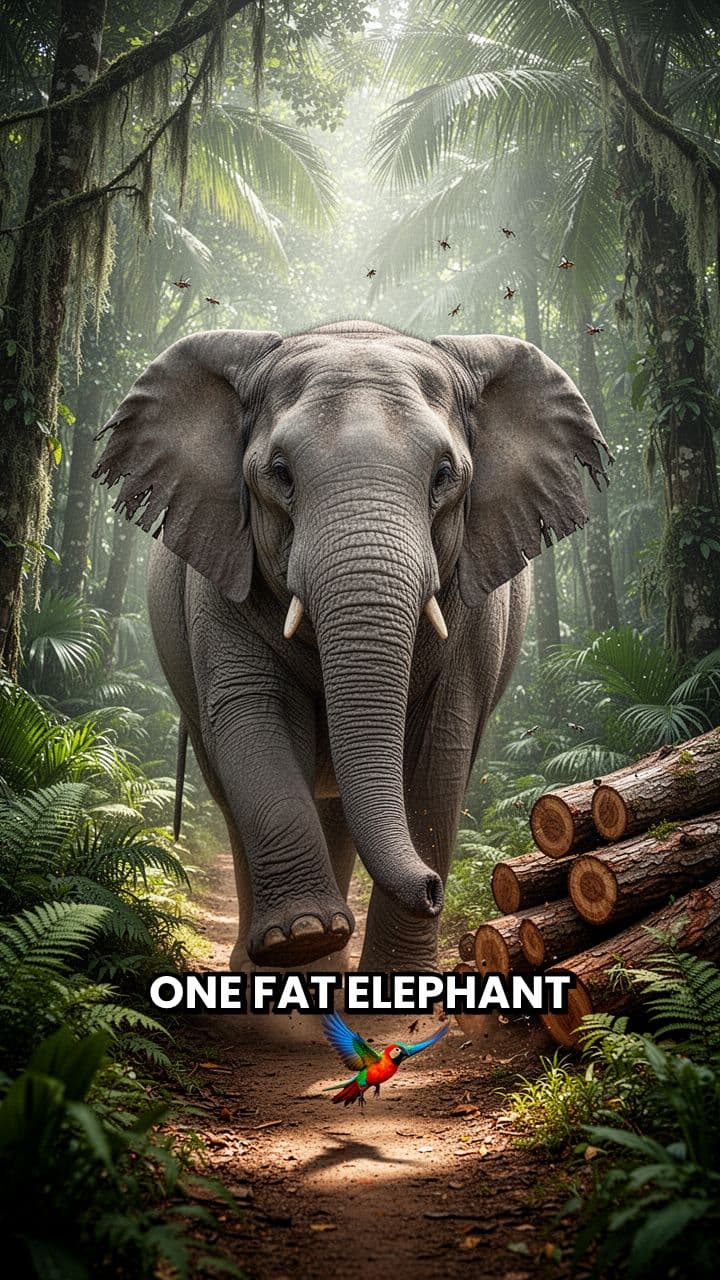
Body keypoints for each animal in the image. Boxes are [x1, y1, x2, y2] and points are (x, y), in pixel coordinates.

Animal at [94, 320, 609, 973]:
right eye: (281, 473)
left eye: (444, 474)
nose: (434, 889)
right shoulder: (216, 582)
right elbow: (252, 716)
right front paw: (302, 934)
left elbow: (440, 749)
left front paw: (393, 984)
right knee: (236, 796)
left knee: (339, 805)